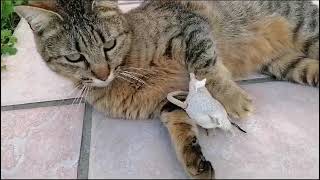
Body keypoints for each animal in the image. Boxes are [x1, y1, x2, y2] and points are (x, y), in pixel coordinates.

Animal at [14, 0, 318, 179]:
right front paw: (193, 159)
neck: (127, 69)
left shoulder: (190, 26)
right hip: (288, 65)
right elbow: (179, 124)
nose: (102, 74)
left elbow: (205, 66)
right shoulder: (167, 99)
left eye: (109, 44)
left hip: (306, 28)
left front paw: (232, 99)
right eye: (74, 57)